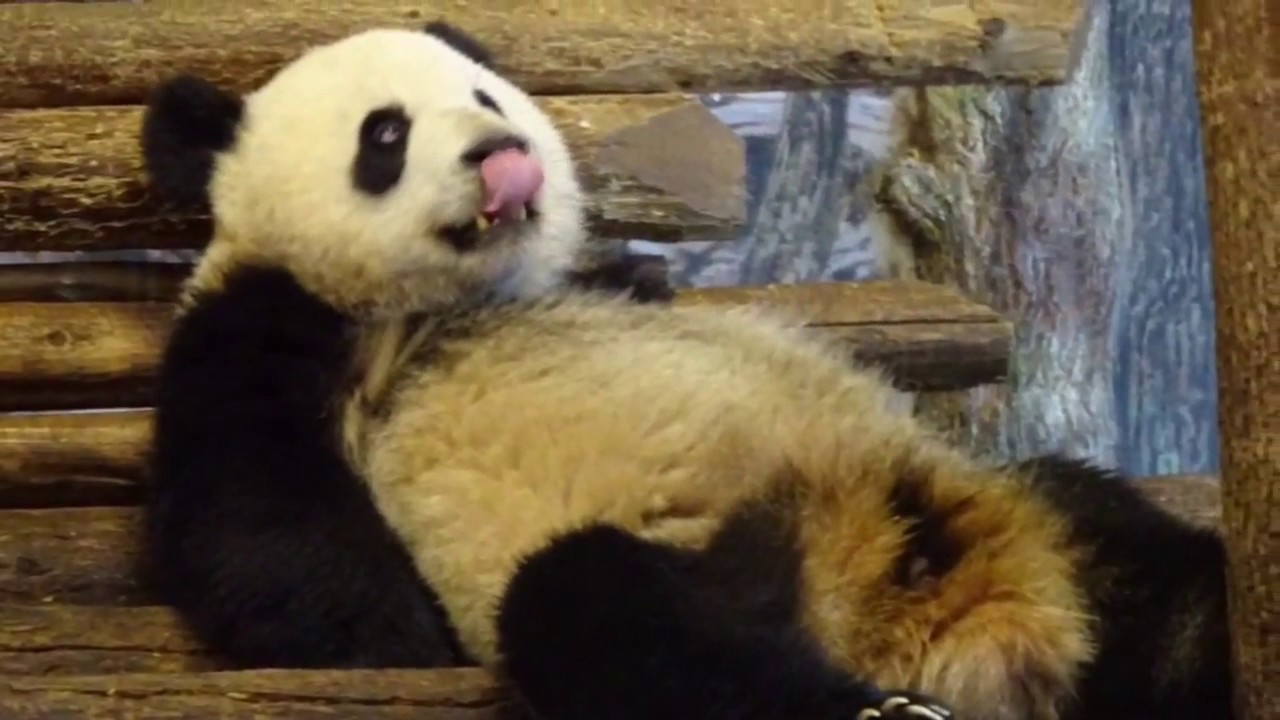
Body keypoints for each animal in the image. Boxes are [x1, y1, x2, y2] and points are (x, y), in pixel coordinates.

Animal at [138, 20, 1232, 720]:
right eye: (386, 132)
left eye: (486, 96)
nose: (502, 154)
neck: (453, 300)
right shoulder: (265, 326)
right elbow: (256, 519)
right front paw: (387, 642)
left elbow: (633, 288)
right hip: (721, 565)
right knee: (614, 619)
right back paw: (876, 713)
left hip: (985, 499)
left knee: (1114, 538)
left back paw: (1193, 632)